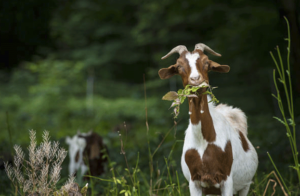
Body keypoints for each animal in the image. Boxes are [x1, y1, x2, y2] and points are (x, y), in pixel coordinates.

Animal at [159, 44, 258, 196]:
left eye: (206, 62)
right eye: (179, 66)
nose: (195, 79)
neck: (204, 140)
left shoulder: (227, 179)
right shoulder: (194, 181)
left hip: (245, 185)